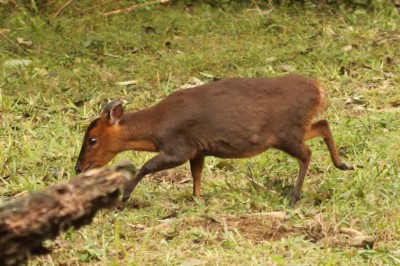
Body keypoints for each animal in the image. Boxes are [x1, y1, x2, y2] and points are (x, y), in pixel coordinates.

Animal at [75, 74, 354, 206]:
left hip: (286, 133)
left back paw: (294, 197)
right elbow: (197, 175)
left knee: (307, 153)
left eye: (92, 140)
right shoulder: (197, 150)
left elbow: (145, 166)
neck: (155, 128)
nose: (78, 167)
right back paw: (344, 164)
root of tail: (319, 90)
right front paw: (196, 198)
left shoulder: (178, 147)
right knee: (323, 125)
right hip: (293, 130)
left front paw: (125, 196)